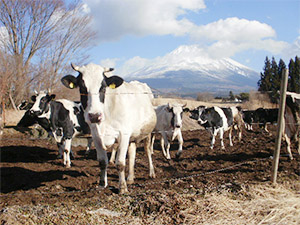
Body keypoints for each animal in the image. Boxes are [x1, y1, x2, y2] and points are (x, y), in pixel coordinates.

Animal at [59, 62, 156, 193]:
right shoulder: (96, 135)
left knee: (147, 150)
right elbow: (102, 161)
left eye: (103, 88)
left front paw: (122, 187)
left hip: (147, 133)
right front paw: (102, 184)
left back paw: (151, 173)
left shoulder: (124, 134)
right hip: (132, 136)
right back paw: (130, 178)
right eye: (83, 88)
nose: (95, 116)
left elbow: (120, 163)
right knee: (132, 153)